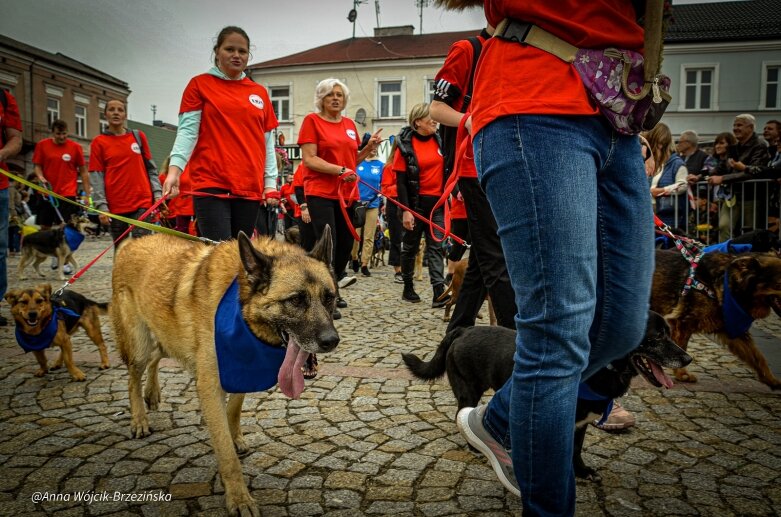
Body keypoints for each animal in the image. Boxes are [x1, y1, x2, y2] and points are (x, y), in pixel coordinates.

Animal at [109, 229, 338, 516]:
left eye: (329, 297)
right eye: (295, 300)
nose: (332, 341)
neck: (241, 303)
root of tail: (131, 243)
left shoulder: (242, 371)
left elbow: (234, 411)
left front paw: (235, 436)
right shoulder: (210, 386)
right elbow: (226, 454)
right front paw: (239, 498)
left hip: (167, 338)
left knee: (156, 358)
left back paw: (152, 394)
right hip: (139, 343)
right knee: (133, 376)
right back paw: (139, 419)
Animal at [402, 312, 688, 482]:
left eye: (669, 332)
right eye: (657, 336)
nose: (687, 358)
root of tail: (462, 330)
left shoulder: (579, 425)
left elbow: (576, 450)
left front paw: (581, 472)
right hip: (468, 390)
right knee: (462, 415)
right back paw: (475, 444)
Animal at [648, 249, 780, 388]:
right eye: (780, 283)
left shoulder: (732, 331)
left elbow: (758, 357)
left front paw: (771, 379)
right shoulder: (682, 323)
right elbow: (681, 348)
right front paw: (682, 373)